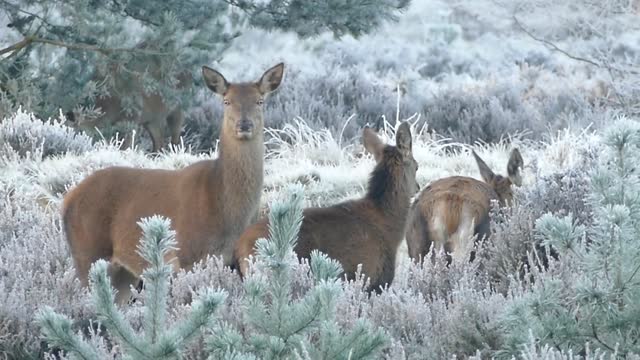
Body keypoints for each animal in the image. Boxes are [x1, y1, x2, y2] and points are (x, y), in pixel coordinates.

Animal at [61, 62, 284, 304]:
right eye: (227, 101)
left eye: (260, 101)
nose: (244, 124)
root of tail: (67, 199)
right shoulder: (185, 254)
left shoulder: (233, 259)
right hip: (87, 252)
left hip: (123, 271)